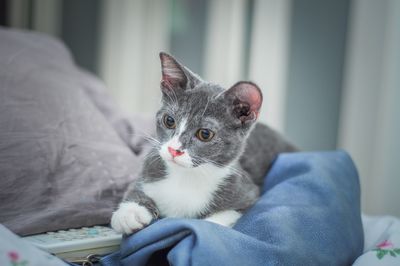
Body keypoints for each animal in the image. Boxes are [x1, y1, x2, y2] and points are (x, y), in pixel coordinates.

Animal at [111, 52, 296, 235]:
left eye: (205, 134)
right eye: (169, 121)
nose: (173, 150)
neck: (186, 177)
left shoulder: (248, 192)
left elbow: (227, 213)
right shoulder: (148, 171)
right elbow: (134, 187)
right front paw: (130, 212)